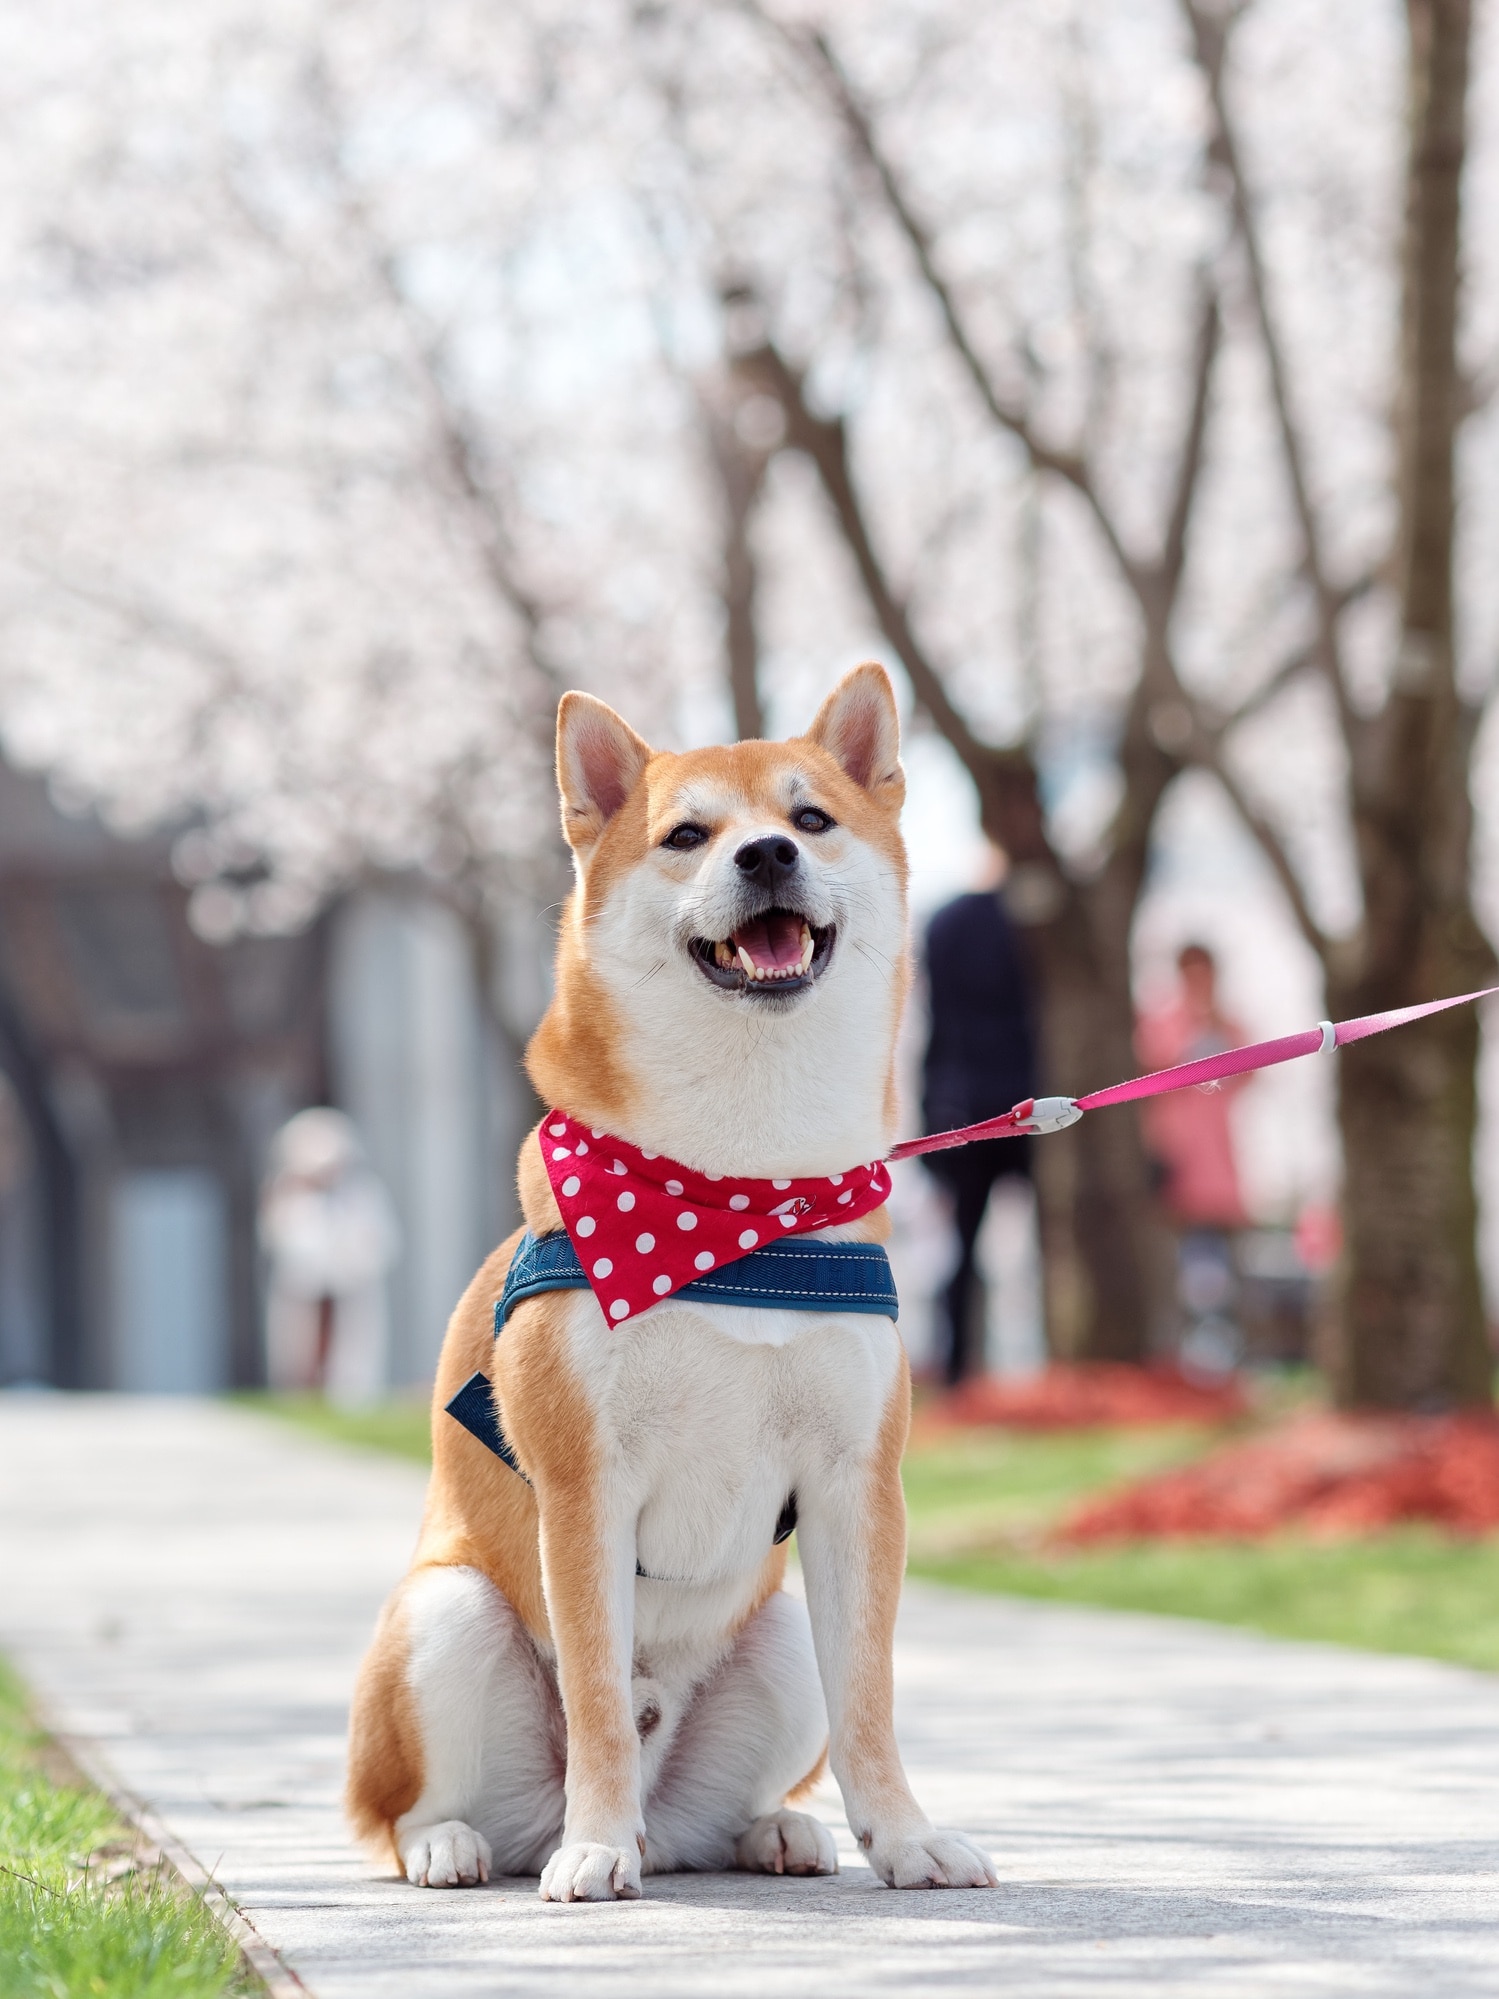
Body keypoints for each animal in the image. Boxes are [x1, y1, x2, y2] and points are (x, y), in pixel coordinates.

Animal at [347, 663, 1003, 1895]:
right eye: (687, 835)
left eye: (810, 819)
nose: (765, 856)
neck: (733, 1196)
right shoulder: (585, 1484)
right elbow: (601, 1698)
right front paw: (595, 1848)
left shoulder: (854, 1482)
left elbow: (870, 1701)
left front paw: (903, 1836)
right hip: (446, 1615)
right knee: (399, 1811)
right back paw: (476, 1842)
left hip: (776, 1636)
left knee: (741, 1790)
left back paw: (772, 1830)